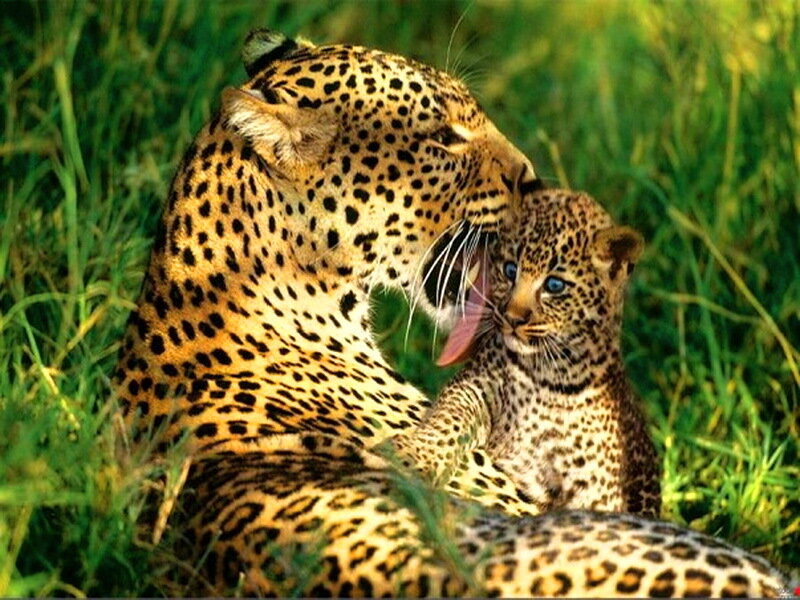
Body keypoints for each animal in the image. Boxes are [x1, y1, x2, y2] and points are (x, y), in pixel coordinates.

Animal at [385, 189, 661, 518]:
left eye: (554, 285)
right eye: (510, 270)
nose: (513, 318)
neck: (548, 375)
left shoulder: (593, 483)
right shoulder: (475, 387)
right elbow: (448, 420)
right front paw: (416, 455)